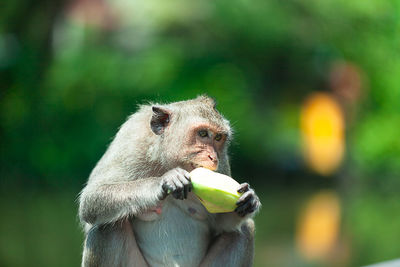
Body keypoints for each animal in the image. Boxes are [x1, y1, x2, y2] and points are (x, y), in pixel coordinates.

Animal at [78, 96, 260, 267]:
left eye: (218, 137)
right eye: (202, 134)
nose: (213, 157)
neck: (167, 162)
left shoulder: (223, 164)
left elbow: (220, 224)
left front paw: (250, 200)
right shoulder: (130, 142)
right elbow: (91, 200)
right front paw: (164, 180)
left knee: (245, 229)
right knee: (107, 228)